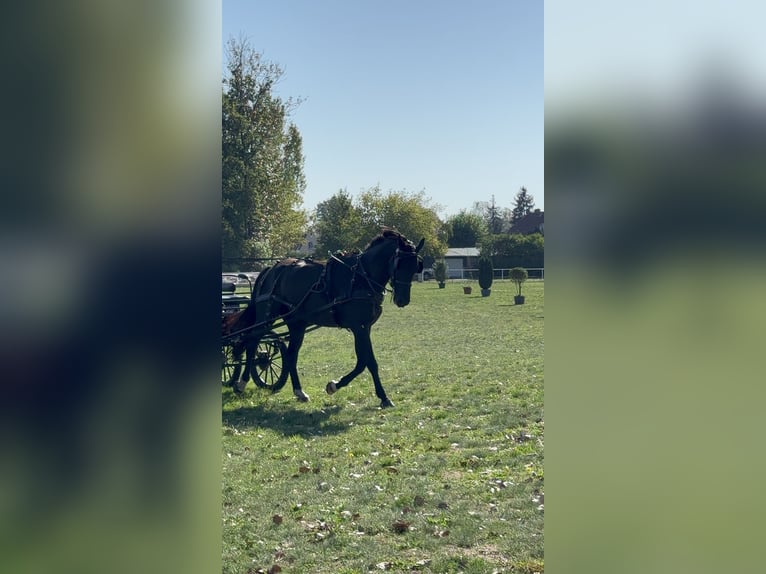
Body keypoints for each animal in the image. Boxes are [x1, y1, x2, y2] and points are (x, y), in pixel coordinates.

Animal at [225, 230, 426, 410]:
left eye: (416, 266)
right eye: (398, 264)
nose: (402, 300)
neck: (361, 277)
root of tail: (272, 268)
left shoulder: (364, 327)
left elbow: (363, 361)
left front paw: (340, 386)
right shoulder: (358, 327)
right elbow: (368, 361)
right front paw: (379, 396)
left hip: (297, 323)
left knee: (290, 354)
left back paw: (299, 392)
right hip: (266, 317)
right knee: (252, 342)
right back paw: (241, 383)